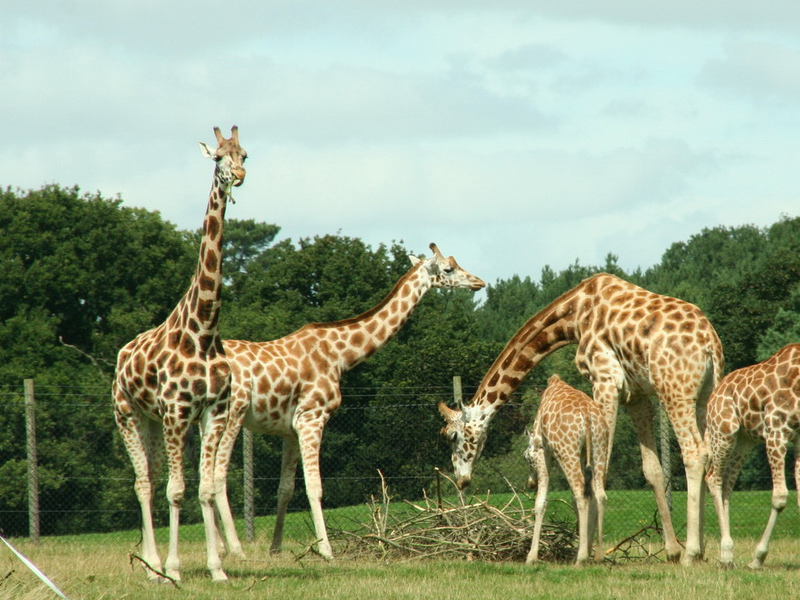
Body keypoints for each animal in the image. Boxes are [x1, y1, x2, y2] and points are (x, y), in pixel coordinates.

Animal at [111, 126, 245, 580]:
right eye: (217, 157)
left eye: (244, 154)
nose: (238, 175)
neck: (203, 330)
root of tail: (120, 357)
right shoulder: (177, 412)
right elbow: (176, 491)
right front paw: (174, 567)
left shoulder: (213, 411)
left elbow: (203, 489)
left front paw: (216, 568)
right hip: (127, 415)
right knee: (143, 484)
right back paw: (153, 566)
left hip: (152, 421)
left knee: (150, 479)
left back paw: (152, 563)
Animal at [209, 241, 484, 560]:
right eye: (449, 269)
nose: (479, 282)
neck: (341, 357)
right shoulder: (312, 418)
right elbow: (314, 487)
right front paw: (326, 550)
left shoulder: (290, 429)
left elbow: (285, 489)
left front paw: (275, 548)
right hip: (234, 413)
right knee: (217, 476)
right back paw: (235, 549)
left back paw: (218, 547)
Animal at [520, 372, 608, 564]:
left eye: (526, 458)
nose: (530, 483)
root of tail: (587, 414)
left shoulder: (542, 451)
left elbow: (540, 503)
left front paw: (531, 557)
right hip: (598, 447)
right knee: (599, 494)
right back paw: (598, 555)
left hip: (567, 451)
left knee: (580, 491)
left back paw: (581, 558)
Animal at [708, 342, 800, 568]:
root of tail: (714, 393)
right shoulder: (776, 433)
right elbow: (780, 497)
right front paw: (758, 558)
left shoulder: (799, 437)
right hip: (723, 432)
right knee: (713, 478)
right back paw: (726, 554)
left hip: (744, 441)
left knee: (727, 484)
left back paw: (728, 554)